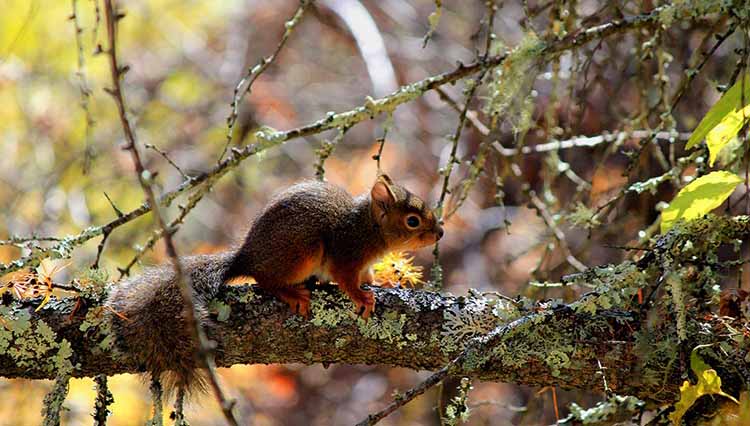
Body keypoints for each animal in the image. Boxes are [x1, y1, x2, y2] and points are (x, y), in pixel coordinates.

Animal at [106, 173, 446, 396]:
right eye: (413, 221)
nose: (440, 232)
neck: (368, 228)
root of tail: (246, 257)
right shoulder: (345, 254)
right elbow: (347, 279)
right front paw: (361, 298)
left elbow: (365, 276)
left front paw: (379, 282)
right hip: (301, 251)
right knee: (264, 280)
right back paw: (291, 292)